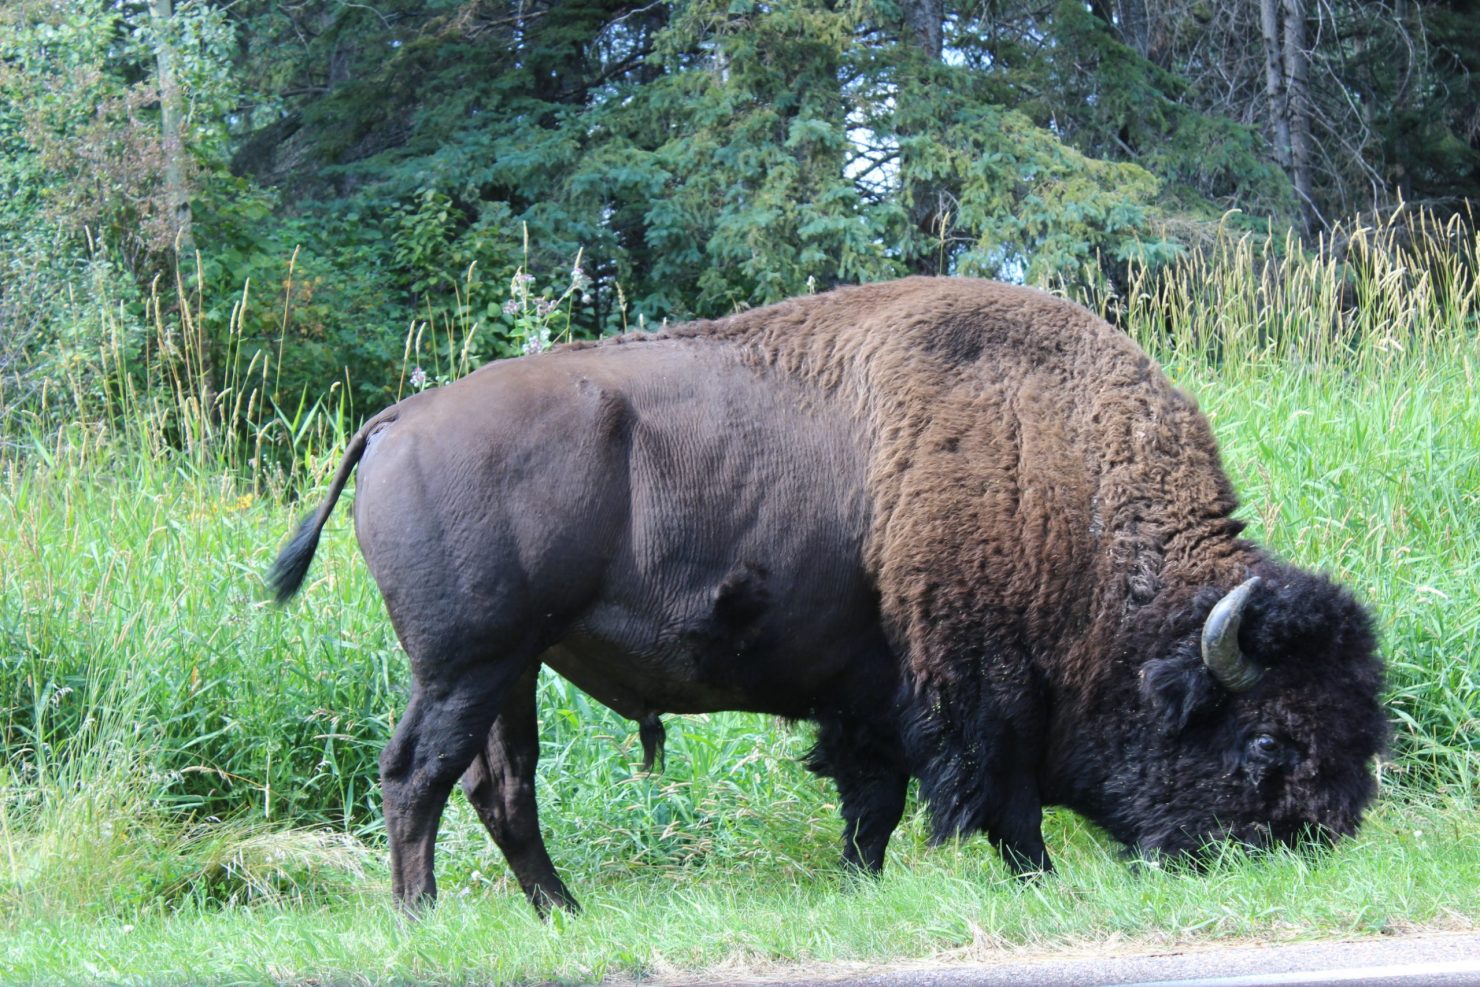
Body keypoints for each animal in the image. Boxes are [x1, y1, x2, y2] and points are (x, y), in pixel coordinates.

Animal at [269, 273, 1385, 917]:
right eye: (1267, 741)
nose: (1316, 845)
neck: (1059, 478)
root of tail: (397, 419)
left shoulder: (872, 695)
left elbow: (873, 803)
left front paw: (858, 885)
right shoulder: (978, 688)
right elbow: (1001, 801)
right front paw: (1040, 882)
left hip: (512, 670)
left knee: (501, 787)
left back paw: (564, 913)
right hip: (466, 662)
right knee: (417, 775)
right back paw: (421, 915)